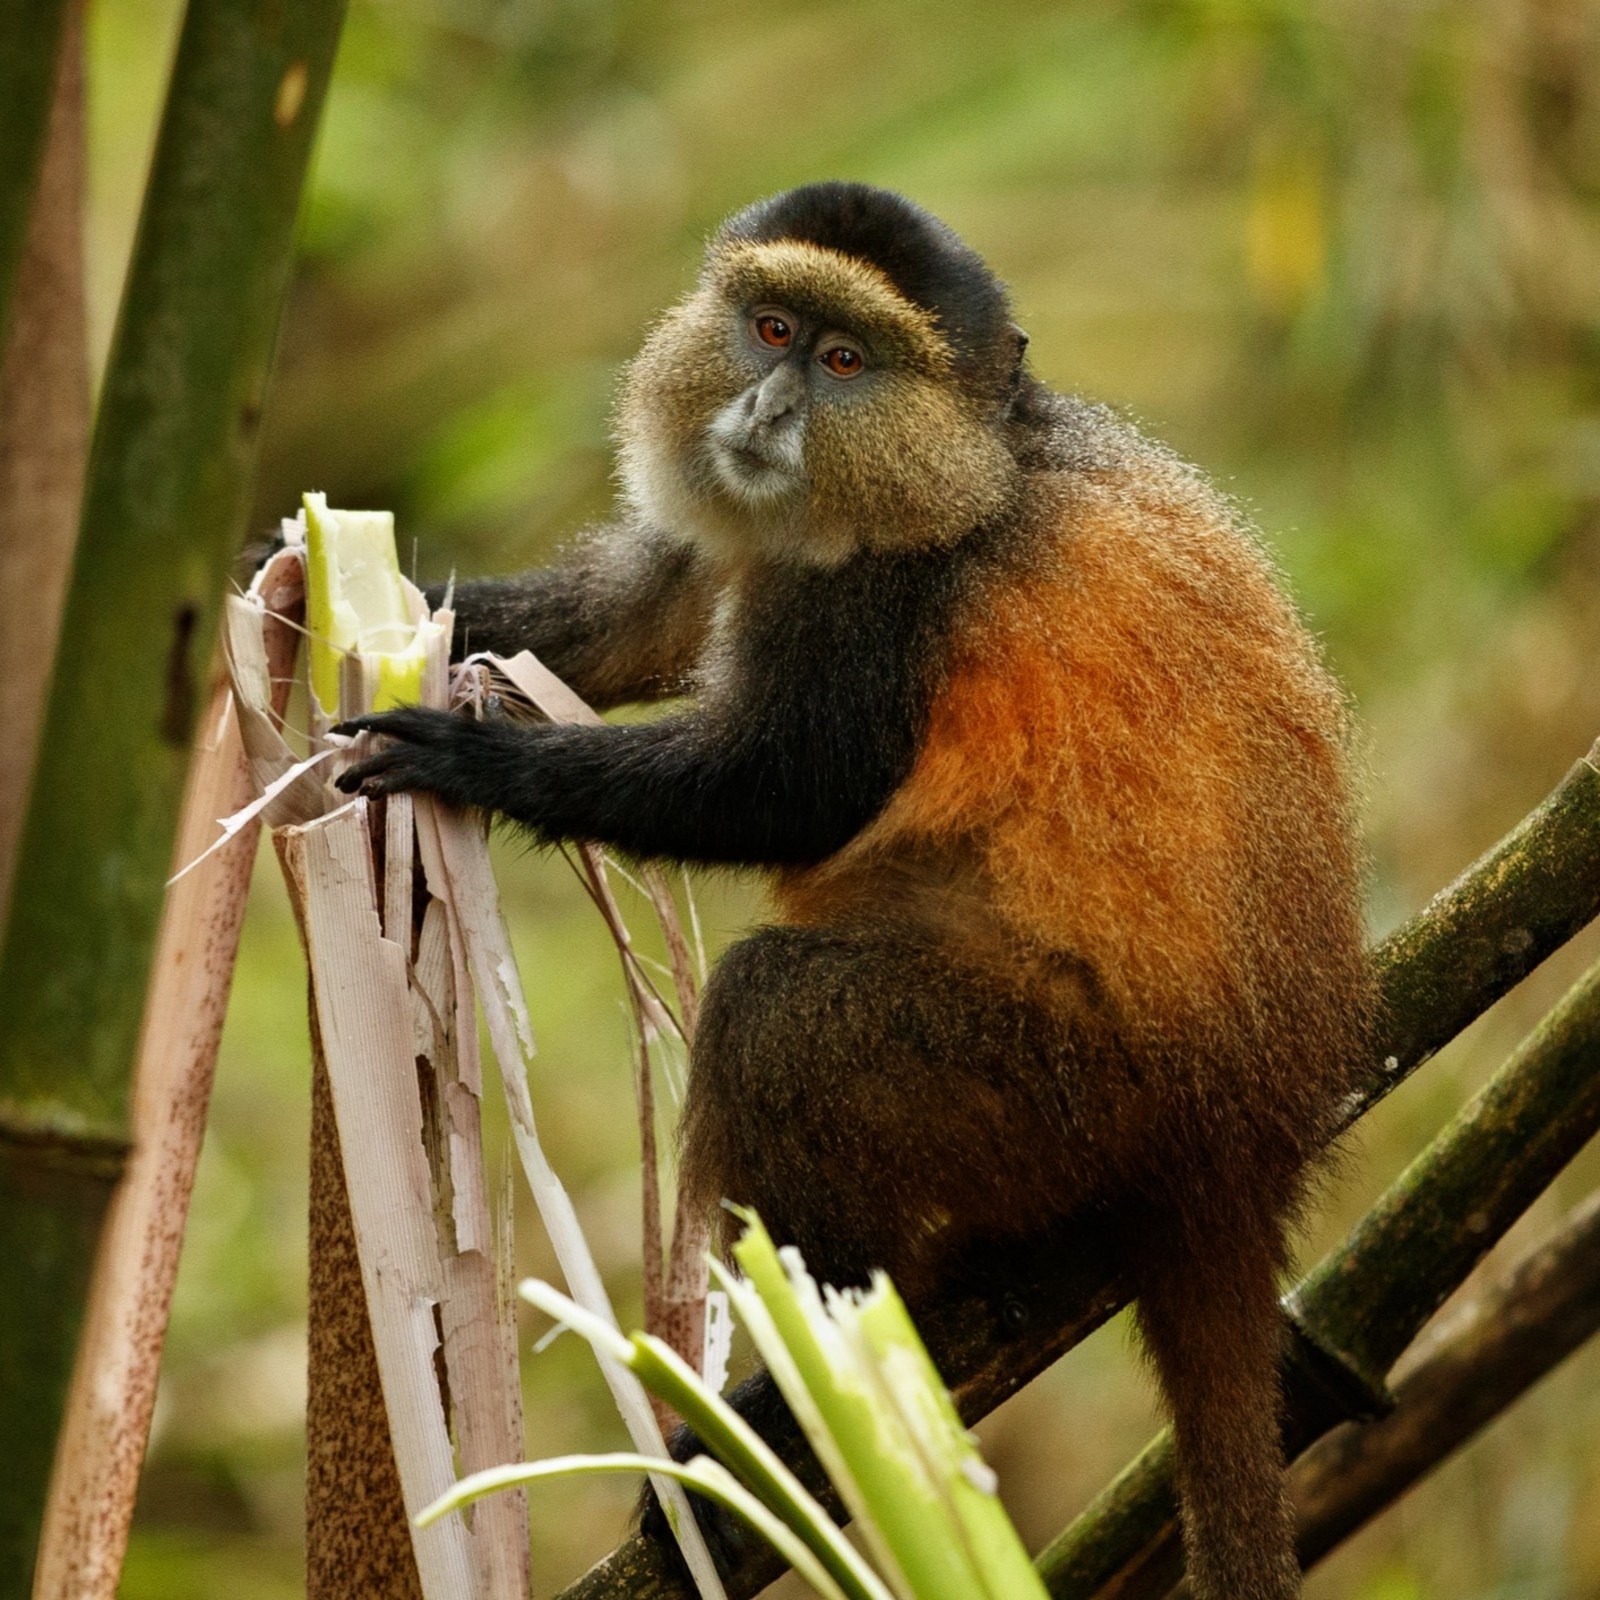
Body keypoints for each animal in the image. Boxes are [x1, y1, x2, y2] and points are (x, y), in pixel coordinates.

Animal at [334, 182, 1372, 1600]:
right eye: (770, 328)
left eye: (844, 363)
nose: (767, 414)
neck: (979, 463)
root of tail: (1246, 1147)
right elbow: (634, 614)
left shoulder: (889, 599)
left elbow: (791, 787)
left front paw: (480, 761)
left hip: (1073, 1094)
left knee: (785, 1015)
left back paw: (795, 1409)